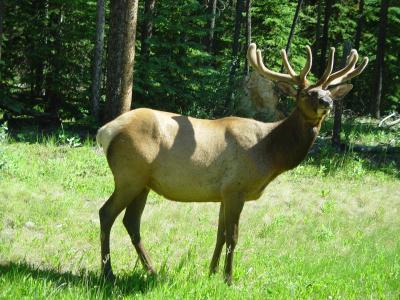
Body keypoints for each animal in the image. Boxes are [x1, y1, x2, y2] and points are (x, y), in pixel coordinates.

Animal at [95, 42, 368, 284]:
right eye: (307, 93)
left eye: (329, 92)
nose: (327, 103)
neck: (270, 153)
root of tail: (105, 131)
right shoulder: (236, 187)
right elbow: (233, 236)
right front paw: (228, 278)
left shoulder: (223, 192)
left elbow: (220, 233)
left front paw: (211, 272)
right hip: (129, 175)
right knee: (106, 213)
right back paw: (108, 273)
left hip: (144, 183)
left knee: (131, 221)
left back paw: (151, 270)